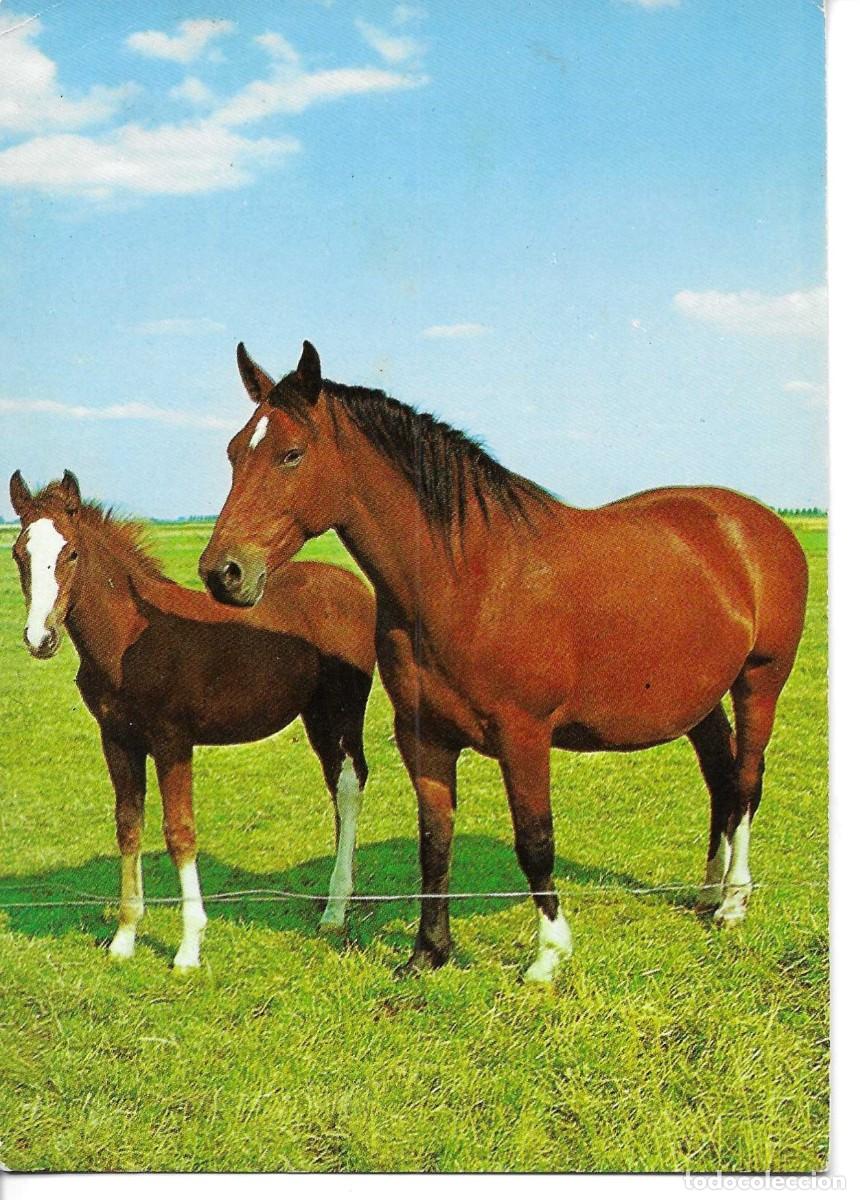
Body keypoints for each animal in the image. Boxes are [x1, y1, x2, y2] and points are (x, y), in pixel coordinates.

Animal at [9, 469, 376, 970]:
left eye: (72, 553)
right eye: (18, 553)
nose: (40, 639)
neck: (129, 639)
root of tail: (355, 587)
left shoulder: (172, 741)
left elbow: (179, 832)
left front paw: (188, 948)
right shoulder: (117, 740)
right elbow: (129, 826)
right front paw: (123, 939)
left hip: (344, 709)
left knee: (351, 785)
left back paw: (335, 911)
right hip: (316, 714)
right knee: (338, 785)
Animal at [198, 340, 808, 983]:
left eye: (291, 454)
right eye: (235, 451)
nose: (223, 572)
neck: (469, 576)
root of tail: (753, 523)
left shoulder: (524, 736)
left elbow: (534, 841)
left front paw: (548, 954)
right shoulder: (424, 738)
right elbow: (434, 842)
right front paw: (428, 952)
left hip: (759, 682)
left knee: (746, 780)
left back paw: (734, 901)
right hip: (699, 699)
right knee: (720, 779)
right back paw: (709, 891)